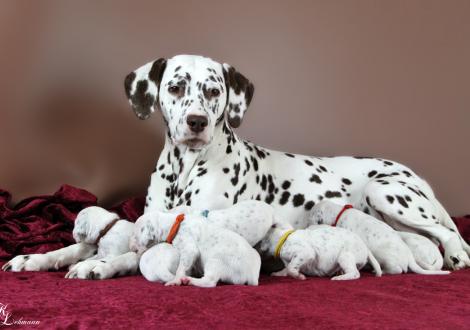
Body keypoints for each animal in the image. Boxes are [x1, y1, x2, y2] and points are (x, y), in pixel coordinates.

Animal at [1, 206, 139, 278]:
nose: (72, 233)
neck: (108, 227)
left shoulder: (113, 253)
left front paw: (87, 266)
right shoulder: (98, 250)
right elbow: (70, 251)